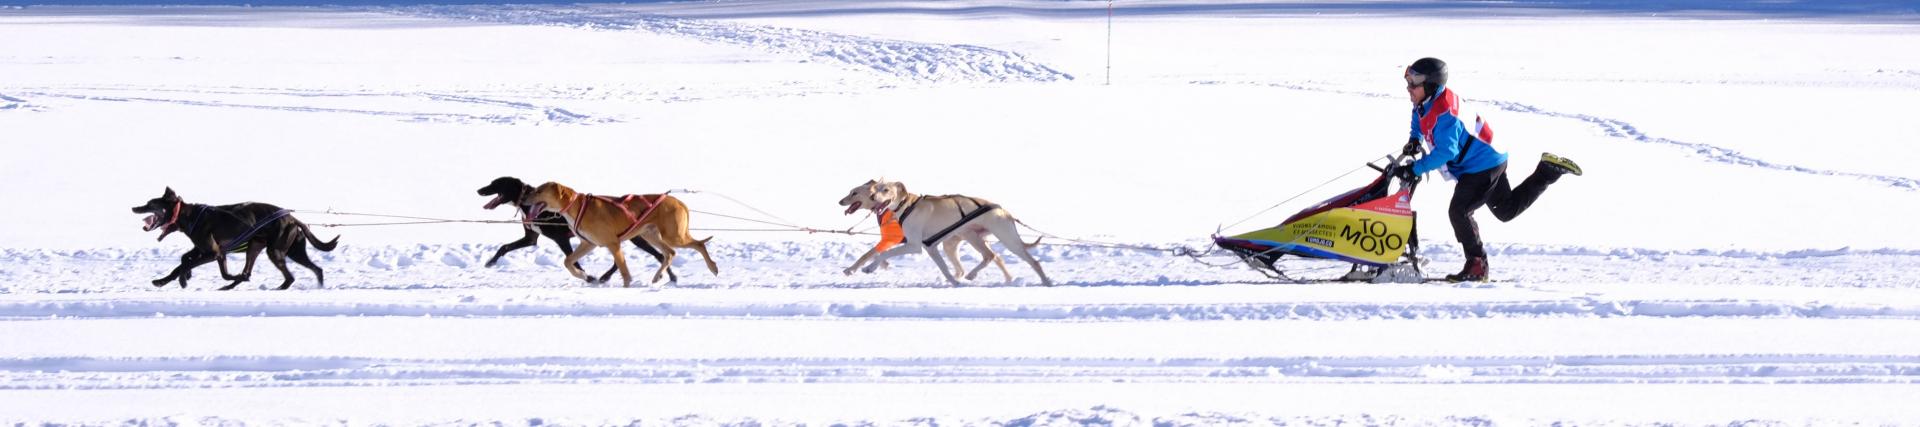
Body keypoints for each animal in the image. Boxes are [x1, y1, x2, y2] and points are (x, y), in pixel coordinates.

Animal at [131, 187, 339, 290]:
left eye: (150, 203)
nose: (134, 207)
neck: (189, 216)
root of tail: (293, 219)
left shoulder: (212, 253)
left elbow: (186, 264)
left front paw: (183, 279)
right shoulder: (211, 252)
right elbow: (183, 261)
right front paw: (163, 281)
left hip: (275, 251)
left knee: (290, 277)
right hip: (274, 249)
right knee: (316, 269)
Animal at [476, 175, 679, 282]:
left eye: (496, 183)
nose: (479, 190)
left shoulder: (562, 239)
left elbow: (572, 261)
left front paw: (587, 276)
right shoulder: (531, 239)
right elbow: (504, 247)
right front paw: (491, 262)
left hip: (635, 237)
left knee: (659, 254)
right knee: (657, 255)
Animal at [522, 180, 718, 286]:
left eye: (538, 190)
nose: (523, 198)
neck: (576, 206)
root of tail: (678, 201)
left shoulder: (613, 244)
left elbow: (624, 271)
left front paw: (625, 286)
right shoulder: (589, 243)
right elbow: (568, 261)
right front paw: (584, 276)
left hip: (673, 235)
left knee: (698, 244)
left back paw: (713, 267)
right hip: (650, 234)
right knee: (670, 253)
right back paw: (658, 276)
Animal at [837, 178, 1052, 284]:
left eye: (886, 190)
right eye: (876, 189)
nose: (873, 197)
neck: (906, 206)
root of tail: (1002, 209)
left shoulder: (913, 246)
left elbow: (880, 254)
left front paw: (868, 268)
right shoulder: (930, 248)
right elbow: (944, 269)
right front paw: (954, 283)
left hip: (1008, 239)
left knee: (1032, 261)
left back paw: (1046, 281)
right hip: (969, 238)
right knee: (990, 256)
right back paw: (973, 276)